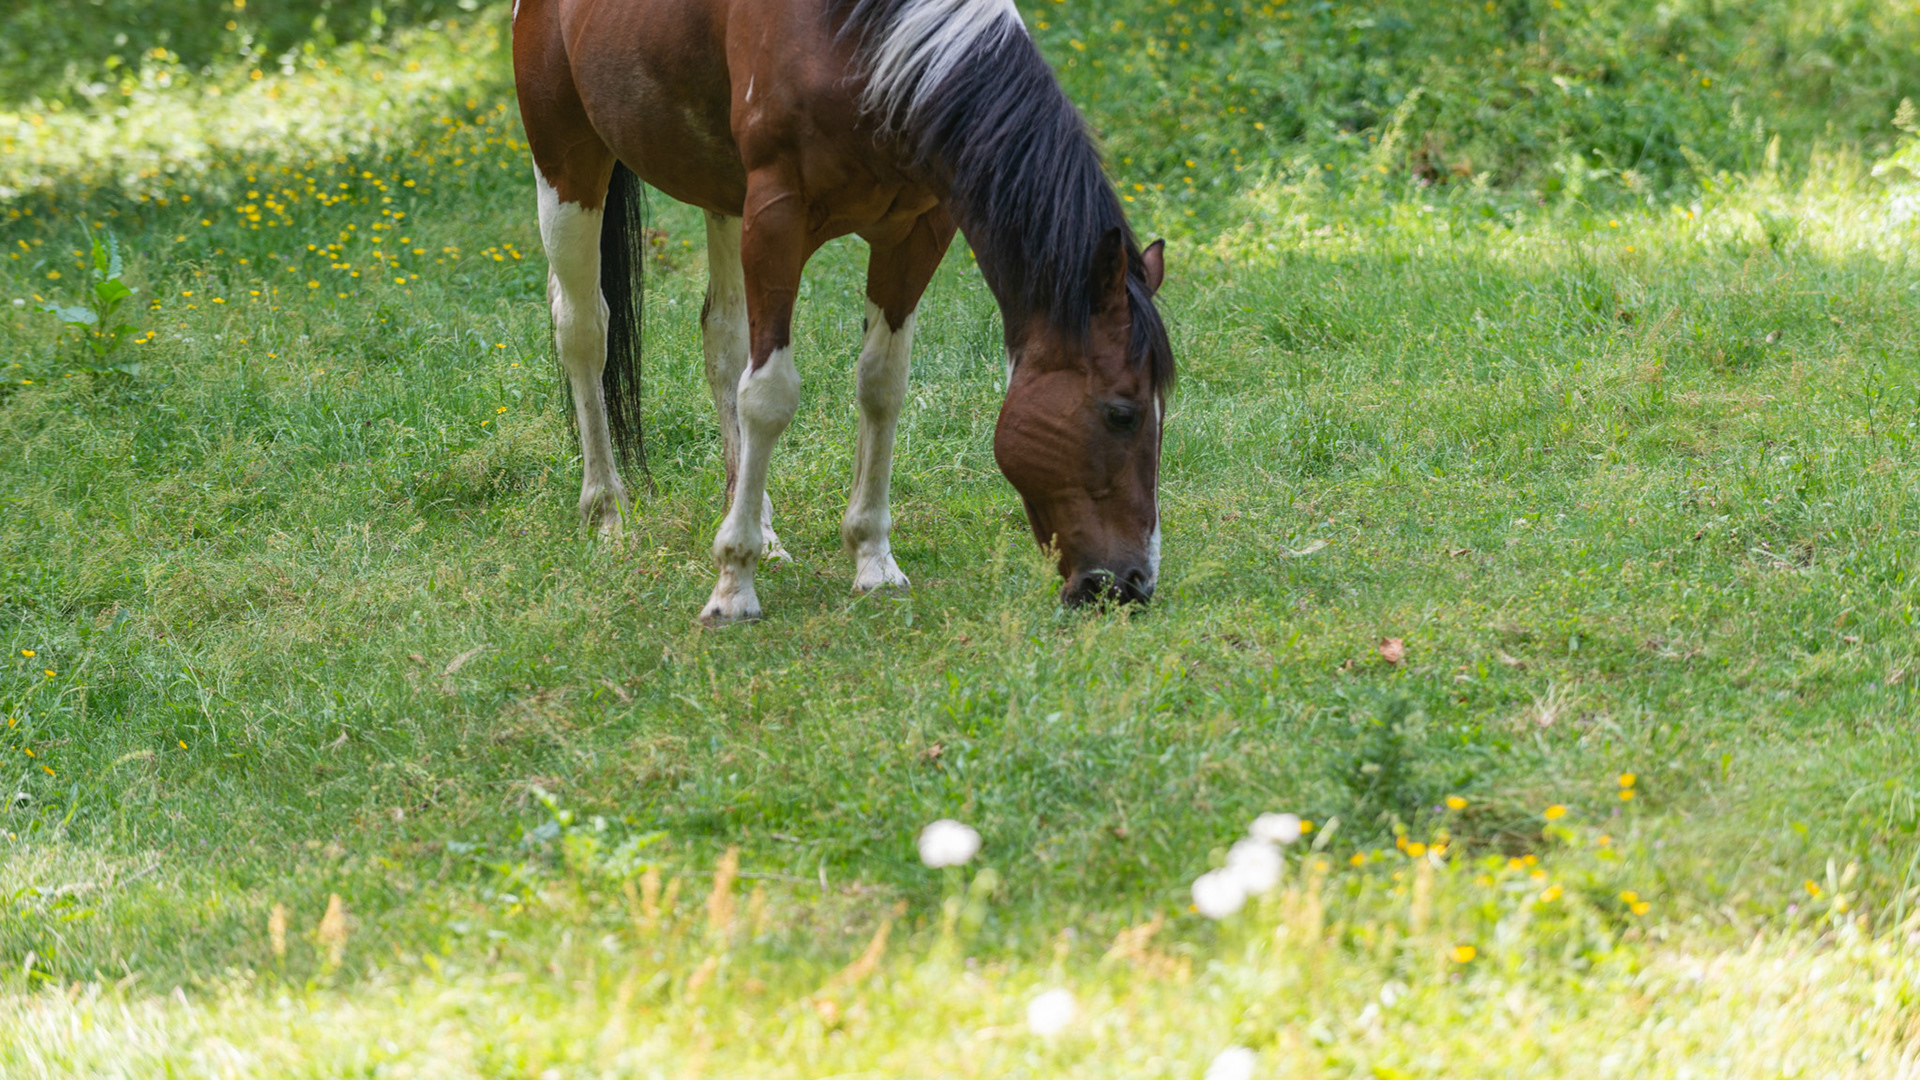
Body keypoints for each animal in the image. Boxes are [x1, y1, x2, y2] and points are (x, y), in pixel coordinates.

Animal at [512, 0, 1174, 624]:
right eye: (1122, 414)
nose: (1130, 584)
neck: (860, 39)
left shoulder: (915, 230)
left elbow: (882, 386)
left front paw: (872, 560)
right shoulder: (775, 220)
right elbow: (769, 396)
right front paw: (733, 586)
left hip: (720, 189)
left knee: (723, 339)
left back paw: (763, 529)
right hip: (567, 162)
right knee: (583, 330)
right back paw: (608, 515)